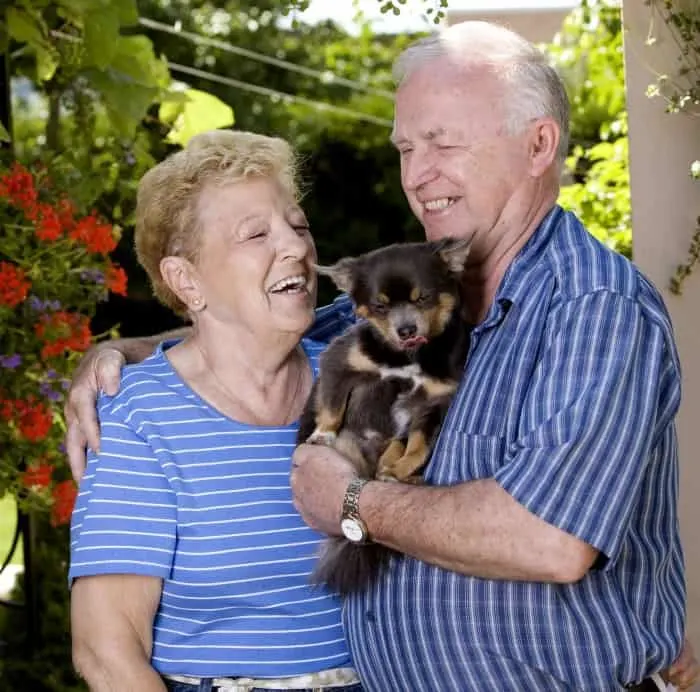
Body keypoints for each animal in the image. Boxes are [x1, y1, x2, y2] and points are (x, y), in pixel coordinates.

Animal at [298, 237, 474, 596]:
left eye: (423, 297)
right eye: (379, 307)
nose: (406, 329)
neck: (408, 357)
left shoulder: (431, 404)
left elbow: (419, 445)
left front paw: (404, 469)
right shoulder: (340, 364)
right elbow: (332, 406)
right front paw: (323, 433)